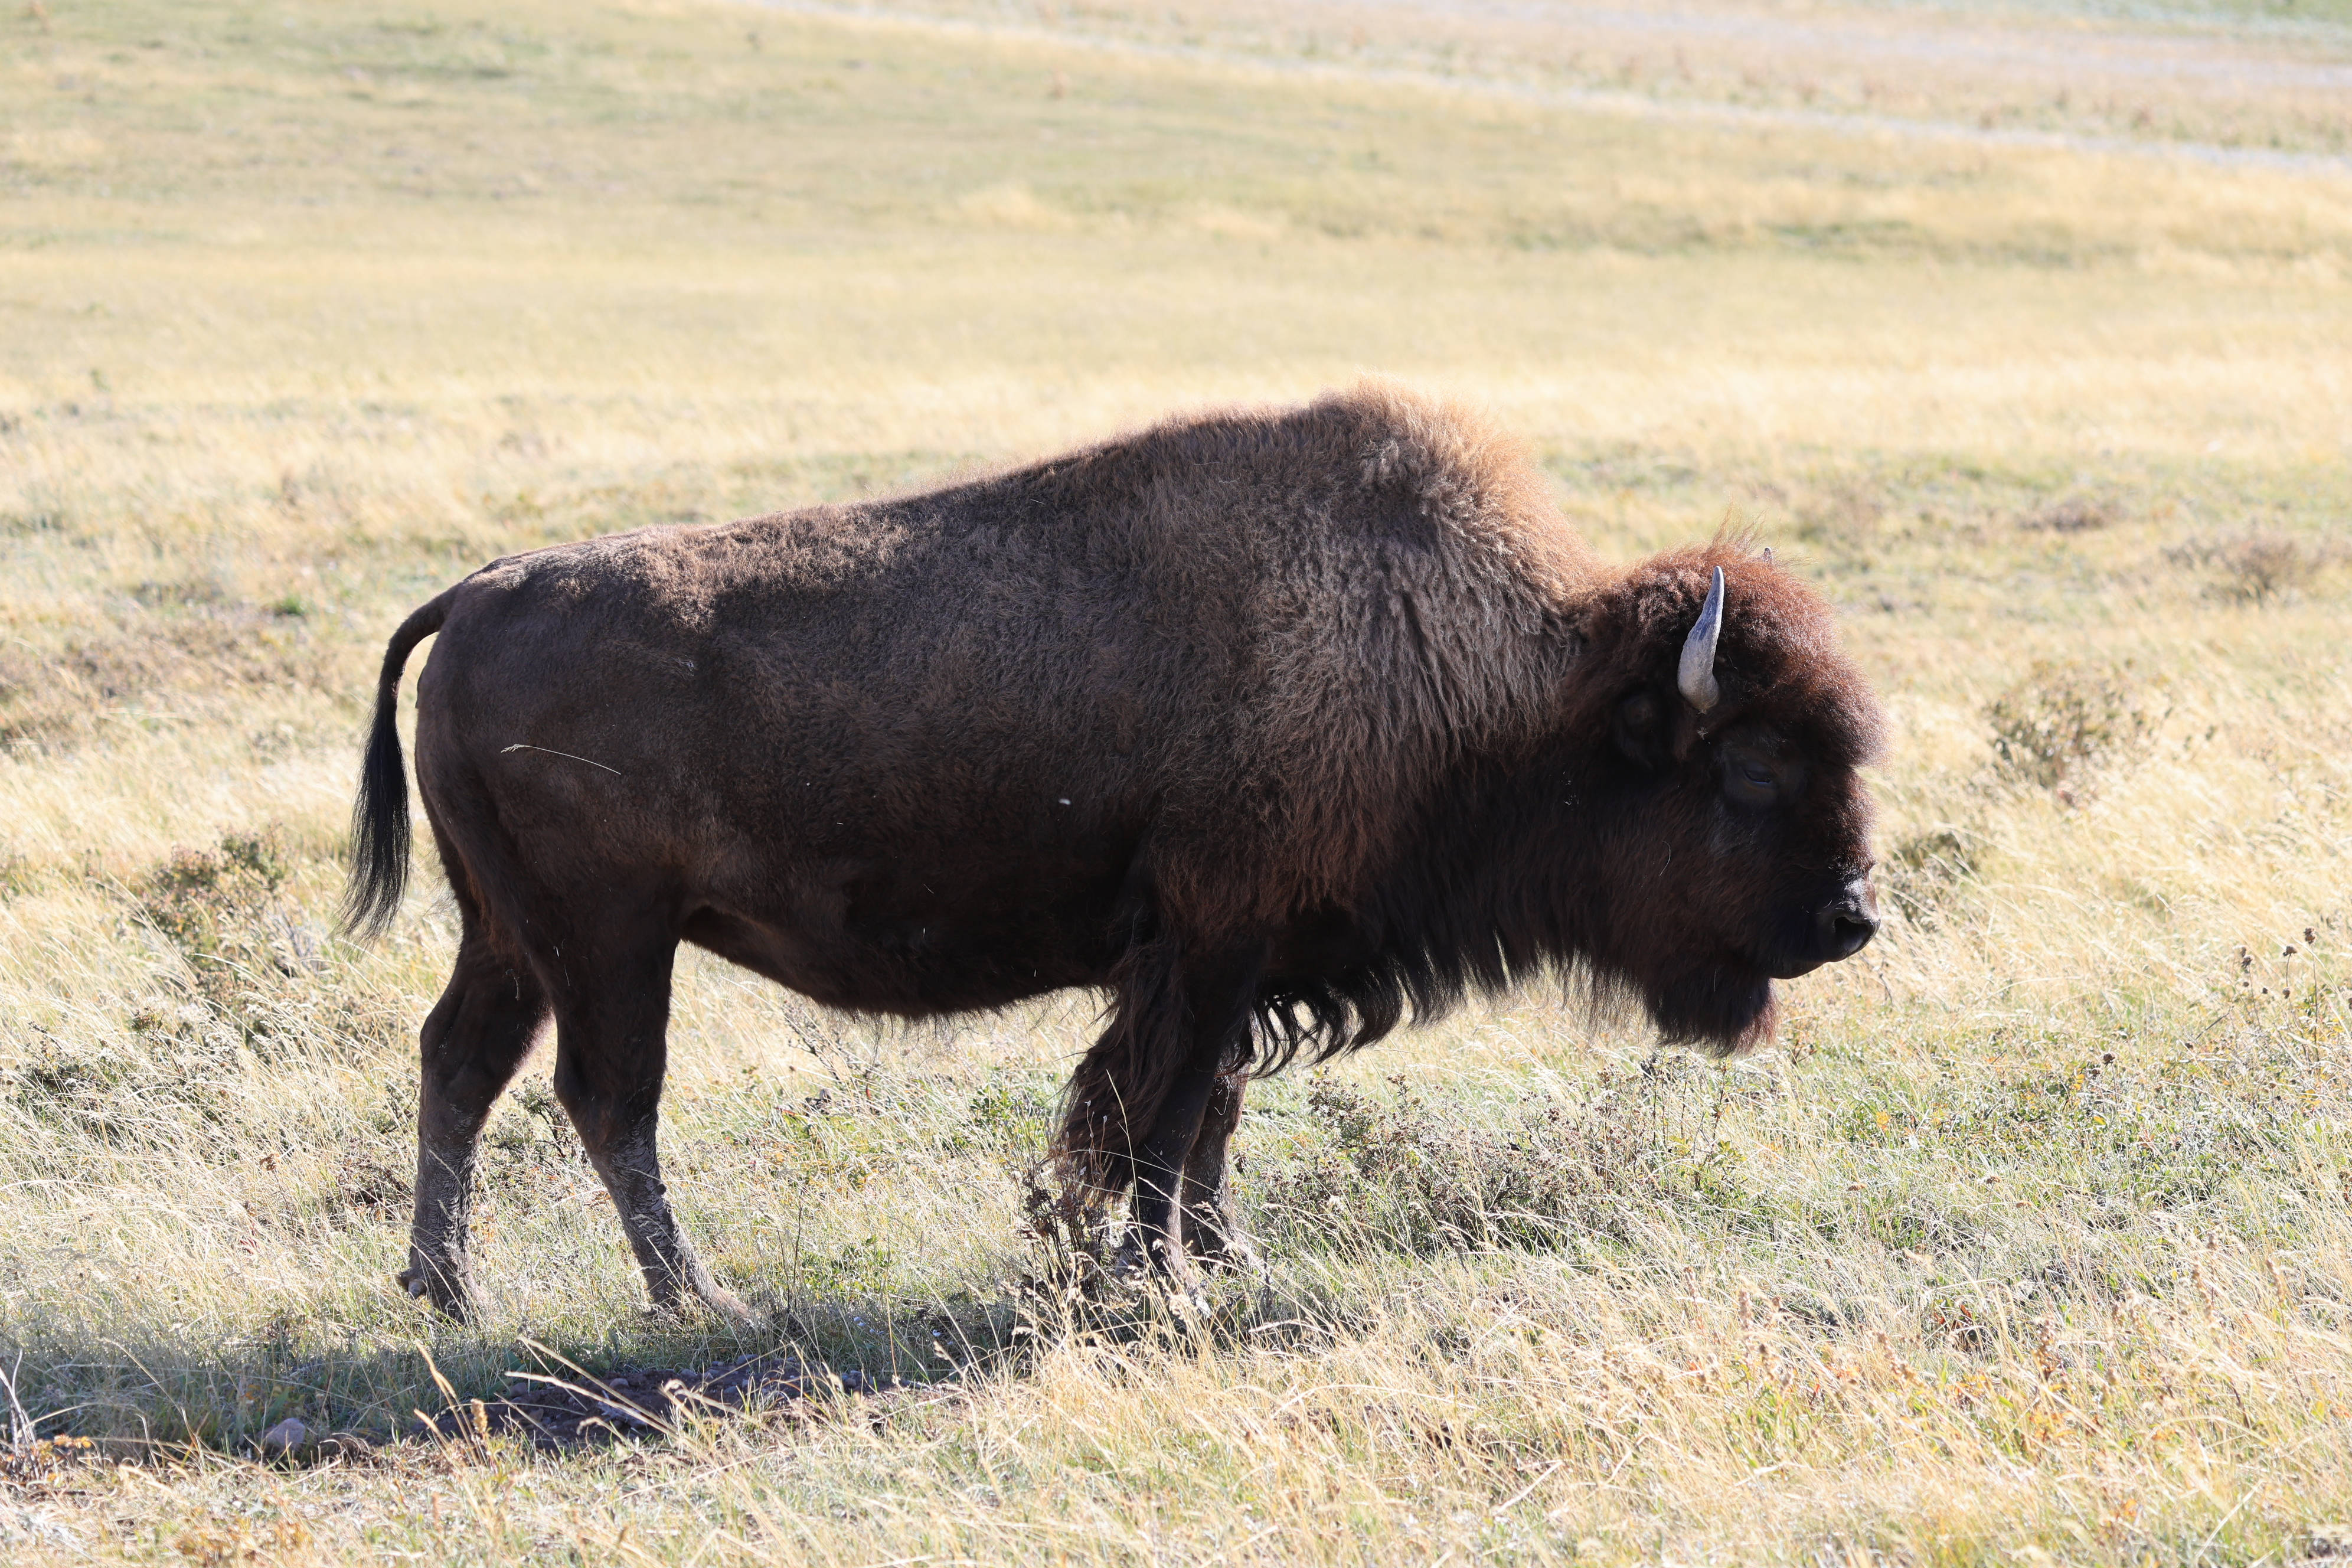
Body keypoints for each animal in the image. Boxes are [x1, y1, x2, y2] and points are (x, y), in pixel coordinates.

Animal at [342, 383, 1883, 1320]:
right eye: (1751, 765)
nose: (1853, 916)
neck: (1473, 666)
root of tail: (473, 594)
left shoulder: (1244, 962)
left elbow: (1207, 1122)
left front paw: (1220, 1259)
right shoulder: (1208, 949)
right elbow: (1160, 1116)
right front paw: (1167, 1281)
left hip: (512, 933)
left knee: (462, 1063)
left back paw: (447, 1288)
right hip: (611, 939)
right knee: (608, 1097)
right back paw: (701, 1299)